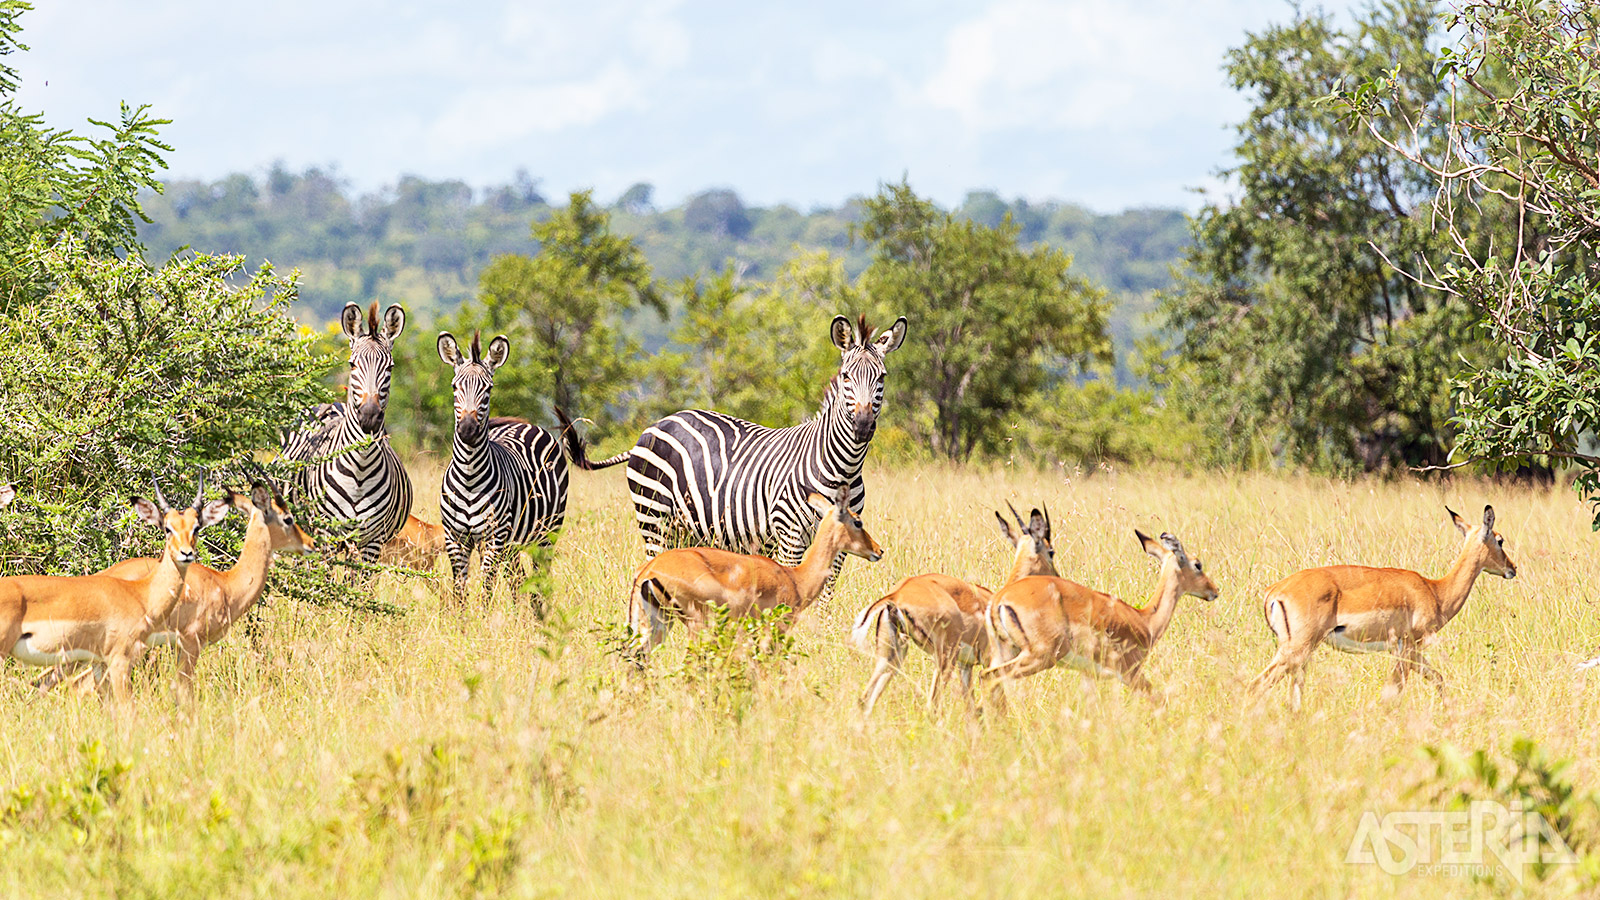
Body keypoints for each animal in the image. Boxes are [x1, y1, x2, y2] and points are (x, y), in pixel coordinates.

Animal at [284, 301, 416, 560]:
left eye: (390, 367)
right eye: (352, 364)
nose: (369, 416)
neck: (361, 469)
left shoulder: (372, 540)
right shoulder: (325, 535)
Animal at [438, 329, 569, 595]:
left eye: (488, 389)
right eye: (455, 387)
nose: (467, 430)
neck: (468, 476)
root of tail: (528, 424)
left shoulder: (493, 538)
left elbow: (486, 589)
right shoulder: (455, 538)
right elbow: (460, 591)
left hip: (547, 534)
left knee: (539, 581)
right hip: (512, 545)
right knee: (518, 580)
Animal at [566, 312, 915, 592]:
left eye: (881, 377)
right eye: (845, 377)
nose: (863, 426)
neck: (844, 466)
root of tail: (655, 425)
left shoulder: (842, 539)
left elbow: (826, 594)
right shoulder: (789, 535)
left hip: (689, 529)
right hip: (653, 517)